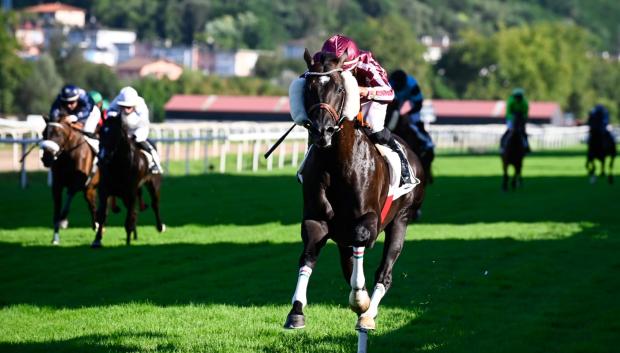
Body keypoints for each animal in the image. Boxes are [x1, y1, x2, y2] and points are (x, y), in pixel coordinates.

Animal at [39, 115, 98, 245]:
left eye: (59, 134)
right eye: (44, 133)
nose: (47, 158)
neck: (68, 156)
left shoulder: (77, 183)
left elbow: (68, 201)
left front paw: (63, 221)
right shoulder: (57, 186)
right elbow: (56, 212)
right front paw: (55, 238)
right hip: (89, 189)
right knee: (92, 204)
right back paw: (96, 226)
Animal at [91, 111, 165, 246]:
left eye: (114, 134)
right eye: (101, 132)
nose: (102, 157)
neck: (119, 166)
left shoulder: (131, 193)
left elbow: (129, 218)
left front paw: (127, 242)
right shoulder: (105, 190)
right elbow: (102, 215)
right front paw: (97, 240)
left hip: (153, 183)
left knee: (154, 204)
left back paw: (160, 227)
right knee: (135, 213)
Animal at [284, 49, 426, 330]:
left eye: (340, 88)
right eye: (309, 87)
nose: (322, 130)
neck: (336, 164)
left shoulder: (368, 219)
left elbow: (361, 238)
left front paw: (360, 300)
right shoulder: (316, 219)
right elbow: (307, 255)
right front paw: (296, 311)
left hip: (401, 219)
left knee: (385, 272)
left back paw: (368, 313)